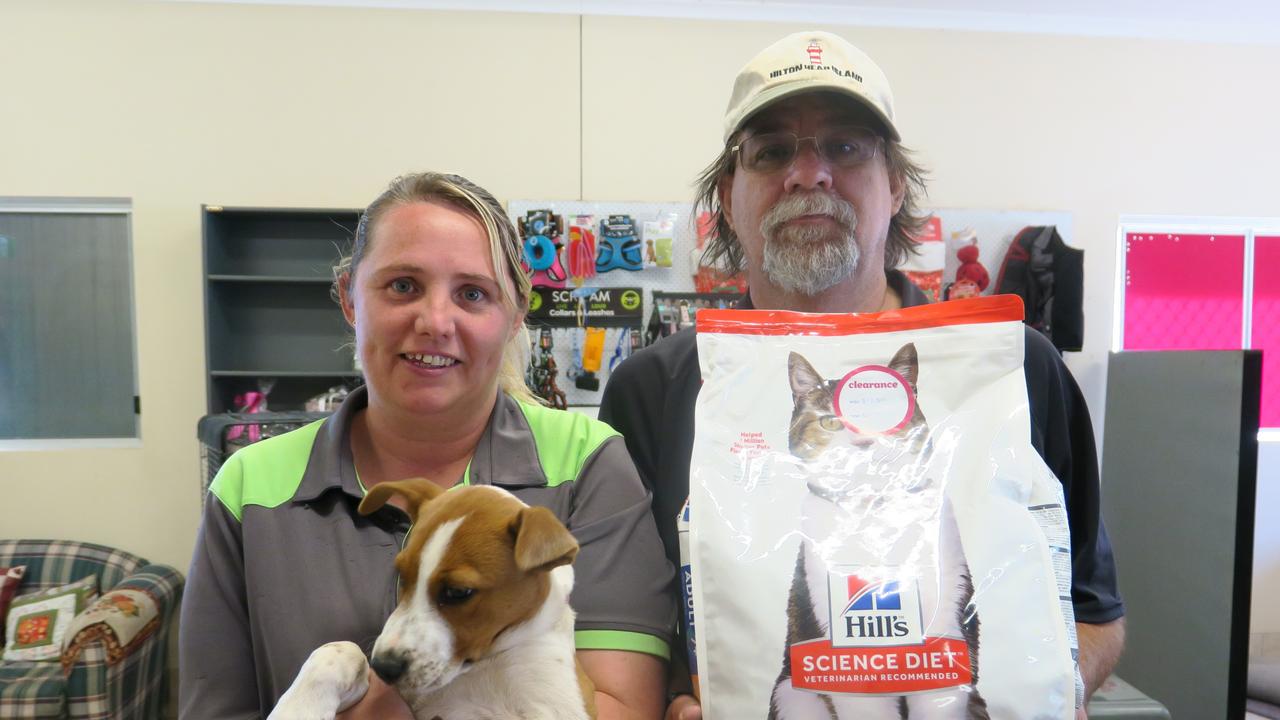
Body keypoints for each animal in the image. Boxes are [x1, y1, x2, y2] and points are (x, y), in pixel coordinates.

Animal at [271, 476, 599, 717]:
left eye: (458, 592)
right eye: (403, 575)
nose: (384, 668)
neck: (483, 666)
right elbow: (340, 649)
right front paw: (297, 709)